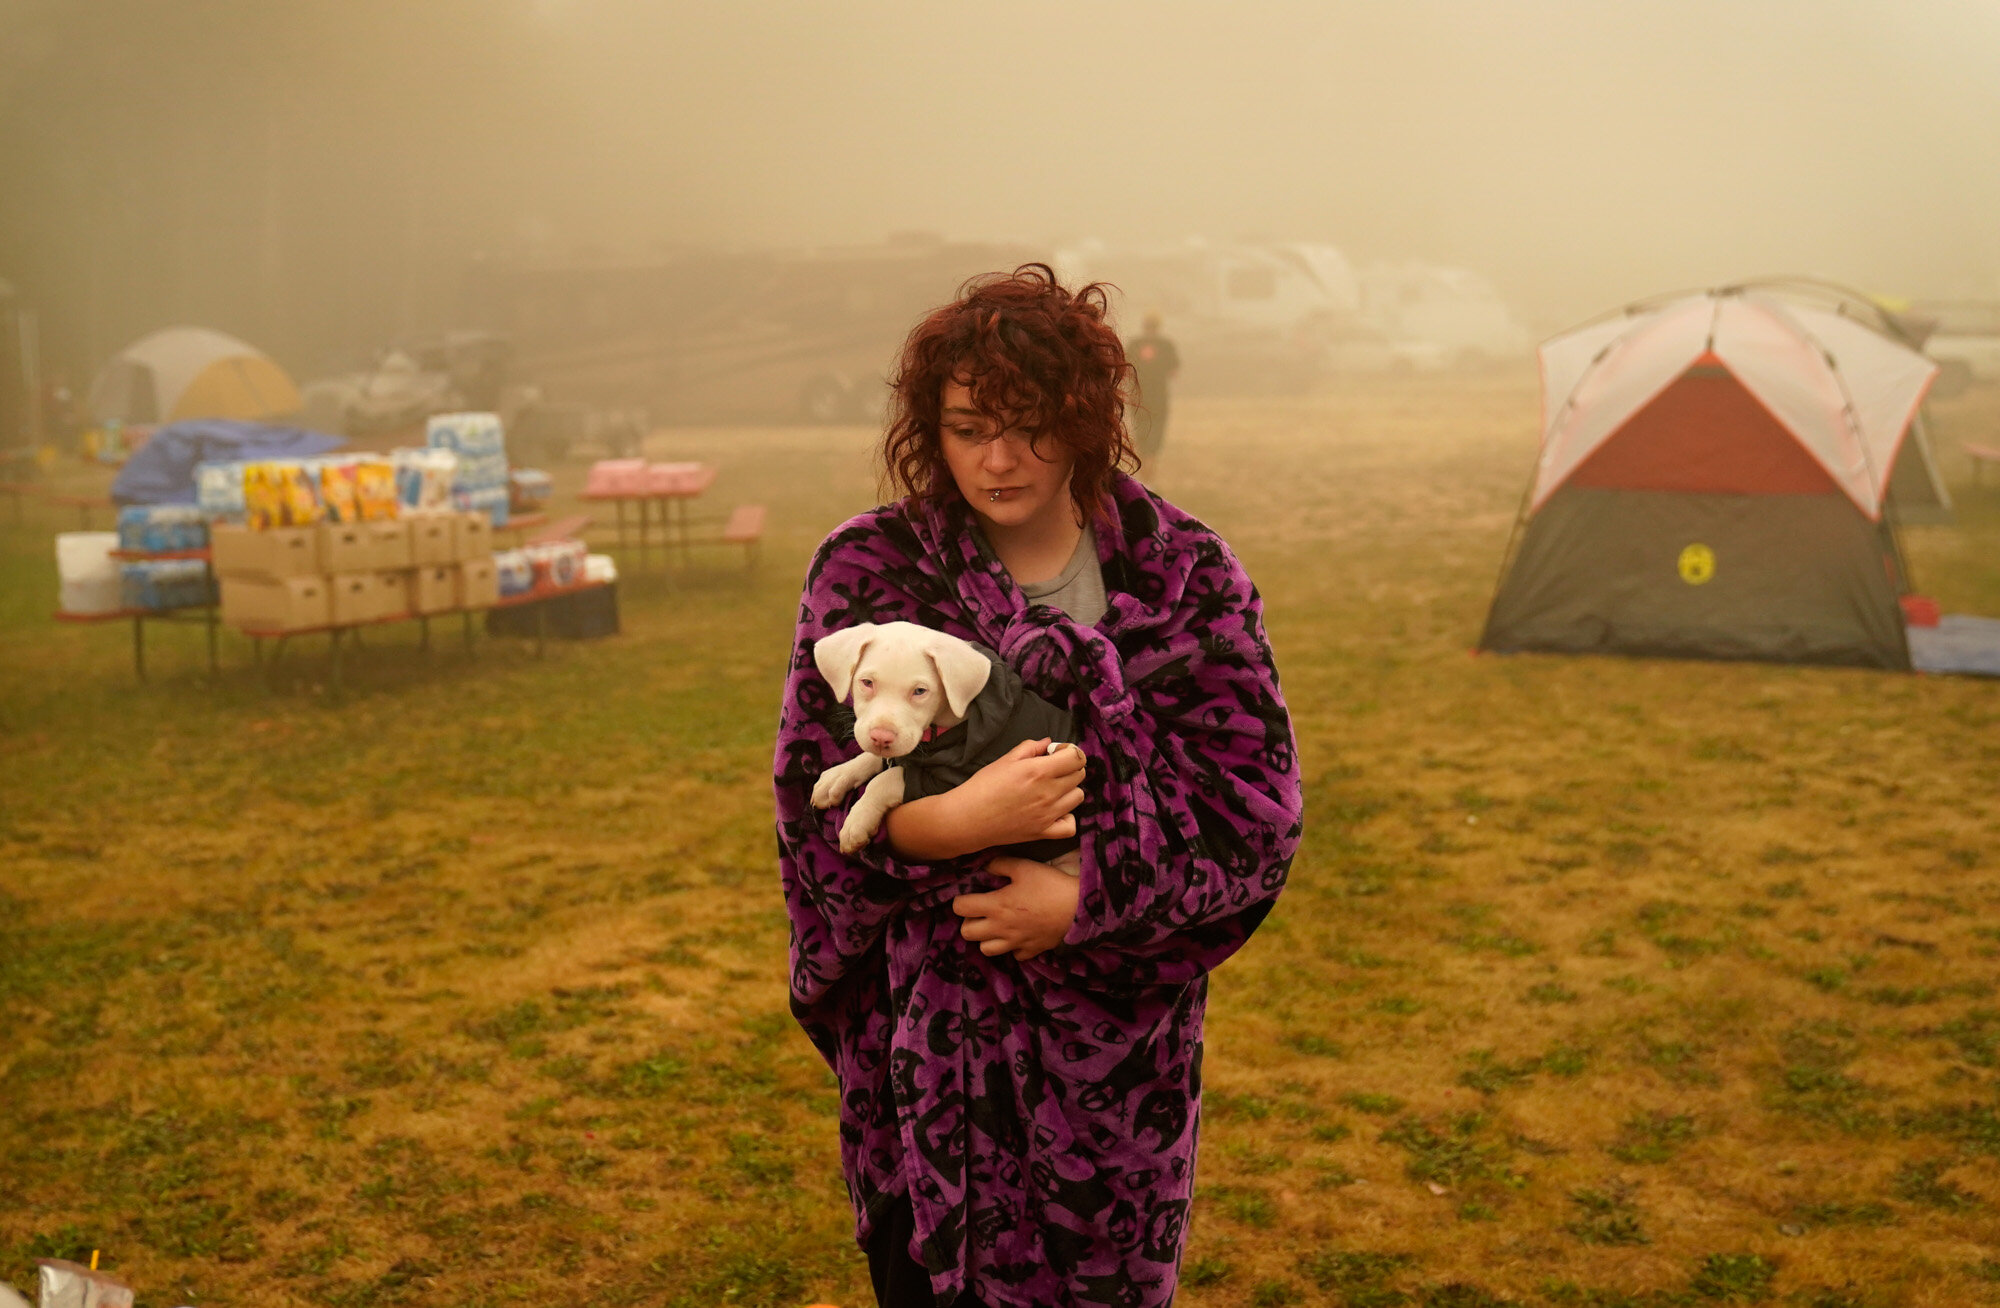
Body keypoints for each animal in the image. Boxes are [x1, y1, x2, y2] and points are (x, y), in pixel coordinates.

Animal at [808, 620, 1088, 868]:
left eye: (920, 691)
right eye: (867, 683)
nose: (881, 737)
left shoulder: (954, 780)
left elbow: (888, 778)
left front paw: (857, 821)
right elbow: (875, 758)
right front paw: (836, 778)